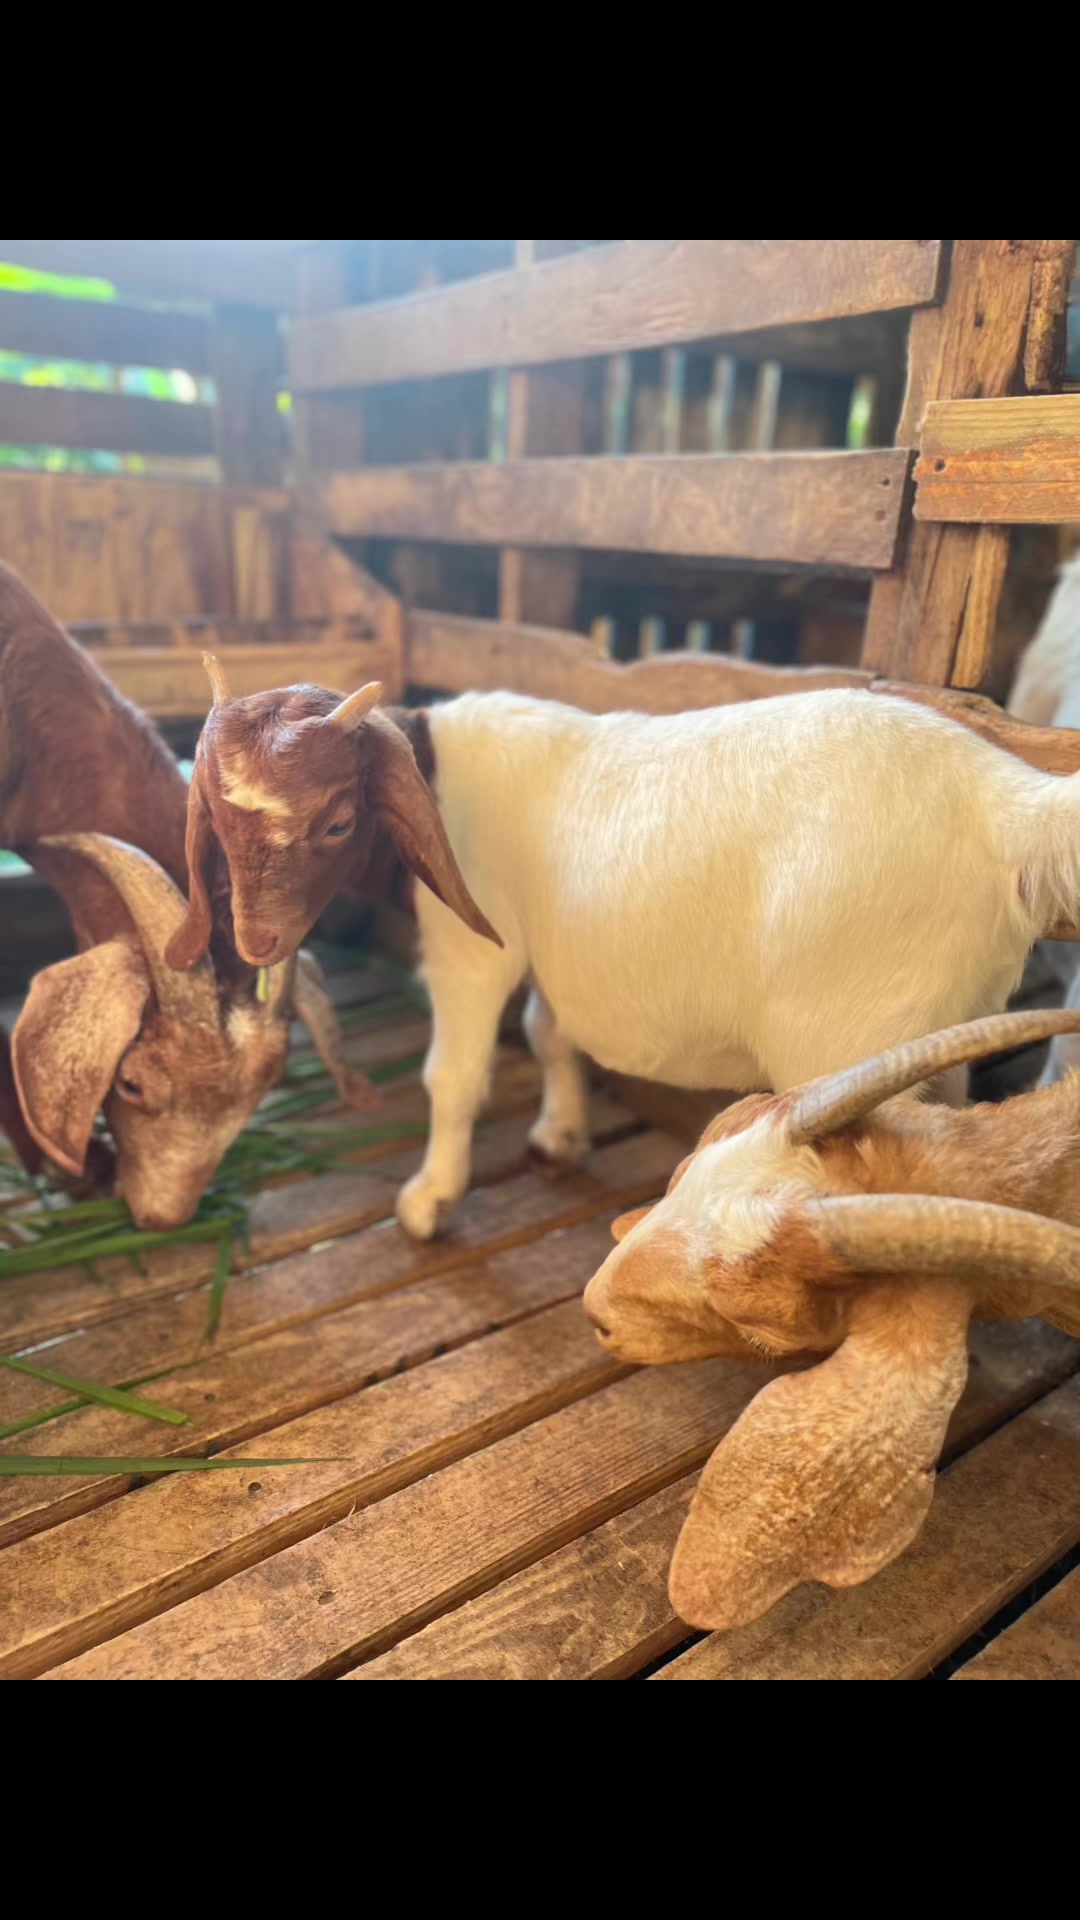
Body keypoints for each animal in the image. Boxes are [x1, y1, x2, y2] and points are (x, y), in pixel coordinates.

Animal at [166, 672, 1080, 1240]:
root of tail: (1009, 803)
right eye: (215, 814)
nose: (256, 940)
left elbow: (455, 1076)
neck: (438, 781)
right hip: (935, 1029)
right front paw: (560, 1134)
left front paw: (429, 1201)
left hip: (844, 1040)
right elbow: (550, 1032)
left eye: (335, 821)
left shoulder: (474, 946)